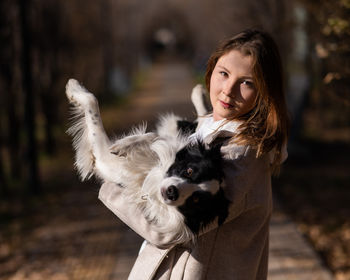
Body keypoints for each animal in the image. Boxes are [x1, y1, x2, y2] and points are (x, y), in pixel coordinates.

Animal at [65, 80, 230, 244]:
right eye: (189, 171)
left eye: (196, 200)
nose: (172, 192)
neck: (151, 175)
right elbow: (155, 137)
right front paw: (126, 144)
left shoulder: (103, 159)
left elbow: (92, 104)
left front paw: (72, 88)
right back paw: (199, 92)